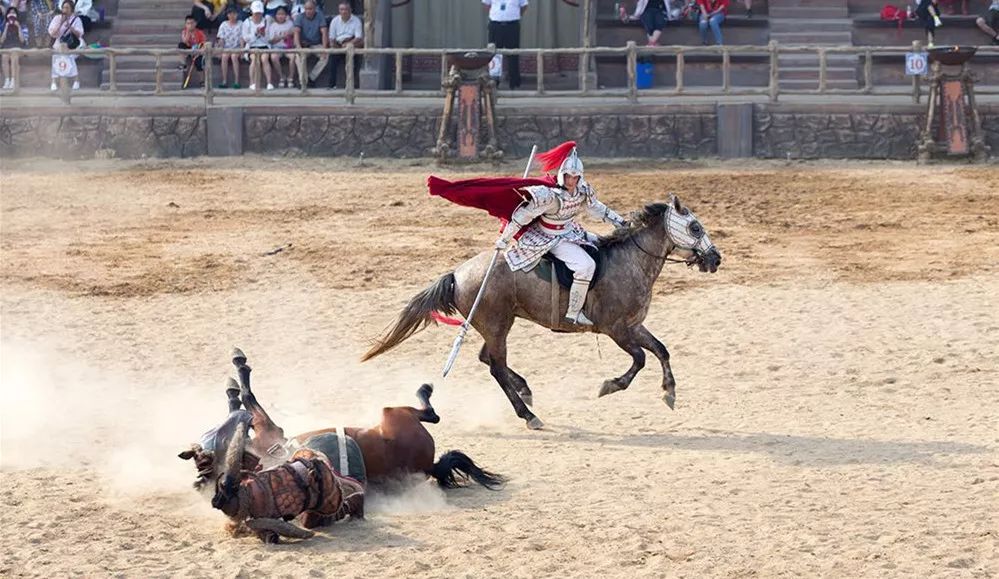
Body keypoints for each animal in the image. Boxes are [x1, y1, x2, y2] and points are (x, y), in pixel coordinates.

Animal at [364, 197, 724, 428]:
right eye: (694, 227)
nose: (715, 258)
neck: (630, 261)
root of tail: (458, 273)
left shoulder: (635, 326)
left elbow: (662, 350)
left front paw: (670, 392)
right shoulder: (617, 330)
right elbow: (640, 359)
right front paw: (610, 385)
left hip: (496, 325)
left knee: (489, 359)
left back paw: (526, 391)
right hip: (497, 326)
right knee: (496, 367)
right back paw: (529, 415)